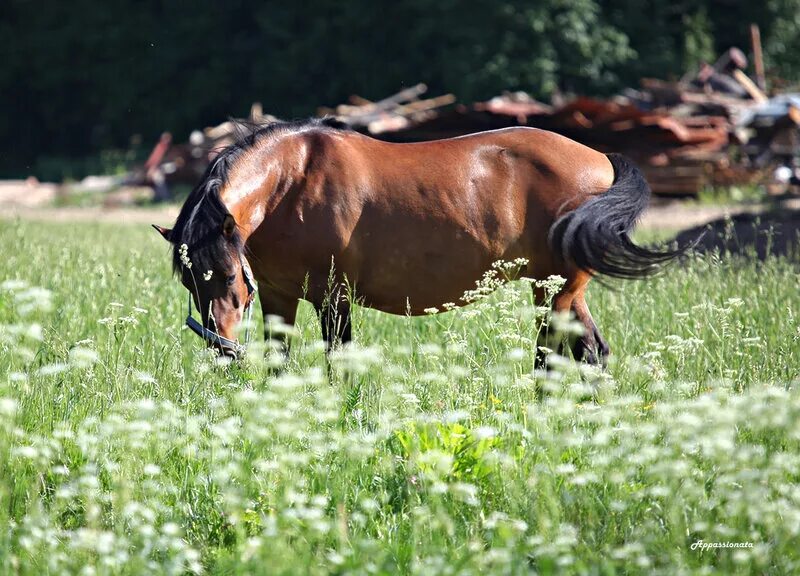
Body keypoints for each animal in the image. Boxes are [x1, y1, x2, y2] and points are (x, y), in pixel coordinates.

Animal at [153, 117, 684, 364]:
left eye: (226, 276)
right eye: (190, 283)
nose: (222, 348)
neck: (294, 181)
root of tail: (601, 158)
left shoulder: (333, 296)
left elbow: (339, 360)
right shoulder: (279, 297)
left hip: (555, 290)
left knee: (555, 355)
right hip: (562, 289)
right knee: (591, 352)